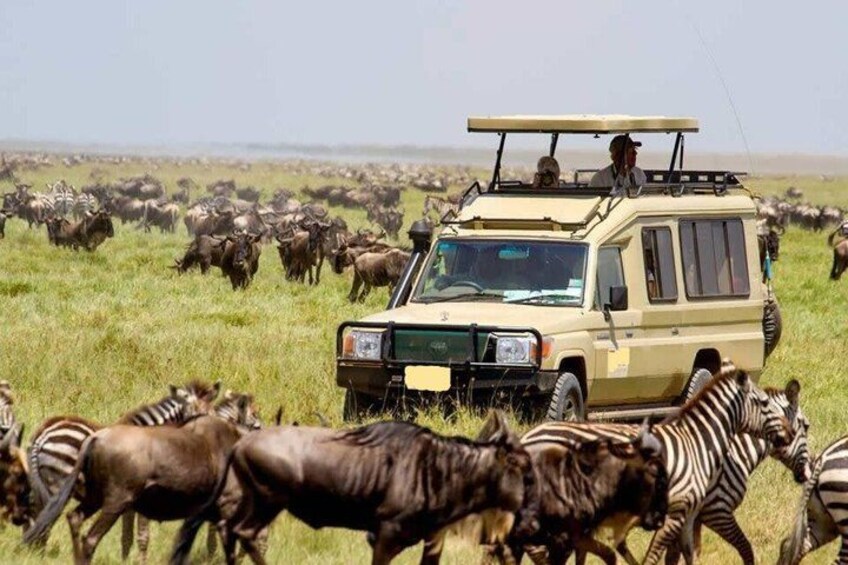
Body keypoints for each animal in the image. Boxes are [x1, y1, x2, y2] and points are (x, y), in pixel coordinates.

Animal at [519, 362, 795, 565]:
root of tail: (527, 437)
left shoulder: (689, 513)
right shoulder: (697, 509)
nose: (789, 433)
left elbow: (684, 553)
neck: (698, 442)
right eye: (763, 403)